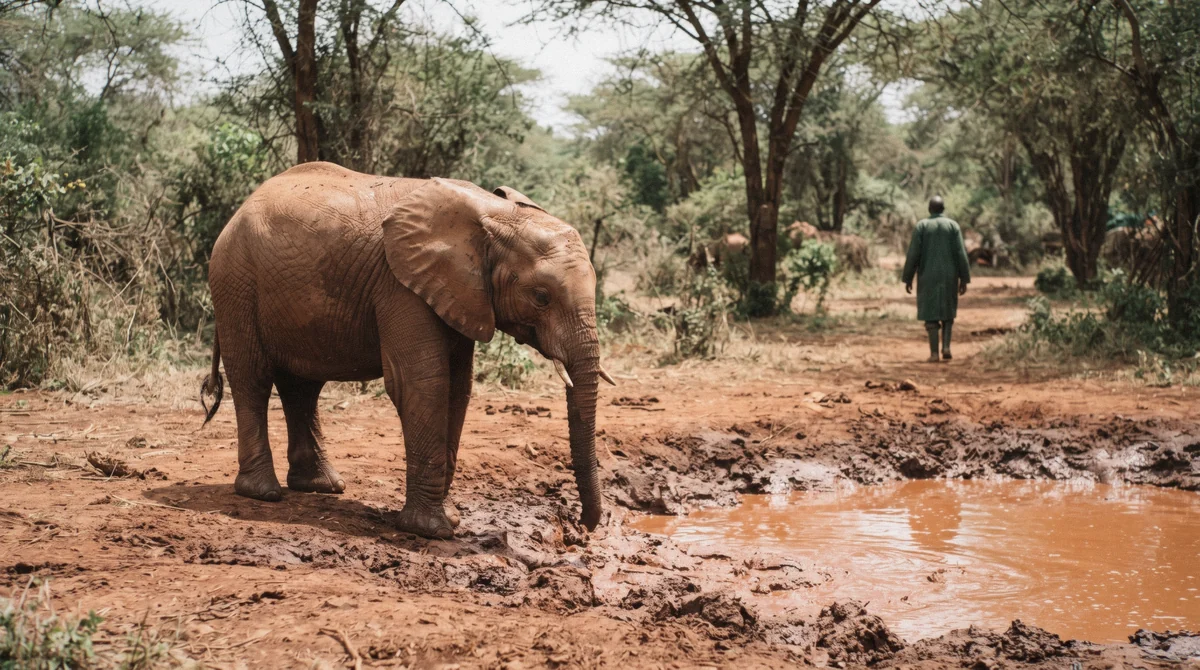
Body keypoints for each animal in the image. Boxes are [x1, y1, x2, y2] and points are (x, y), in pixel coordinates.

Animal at [198, 162, 613, 539]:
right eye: (541, 297)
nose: (583, 527)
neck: (495, 216)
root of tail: (238, 211)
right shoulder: (400, 285)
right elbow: (423, 382)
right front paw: (433, 531)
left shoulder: (458, 292)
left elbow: (458, 388)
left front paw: (450, 519)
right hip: (234, 282)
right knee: (253, 379)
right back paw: (262, 493)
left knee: (302, 388)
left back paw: (321, 487)